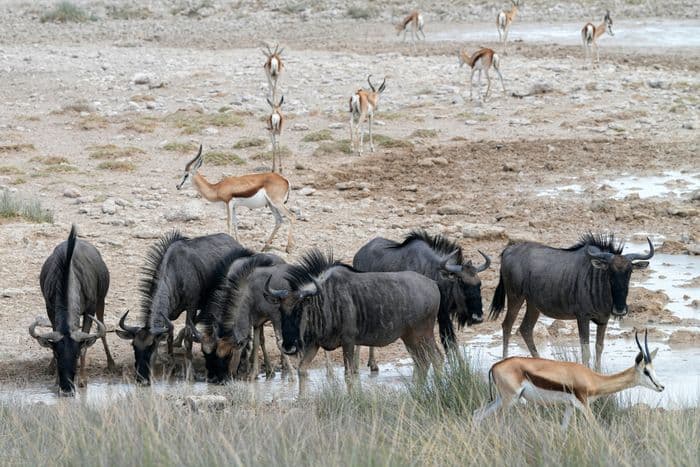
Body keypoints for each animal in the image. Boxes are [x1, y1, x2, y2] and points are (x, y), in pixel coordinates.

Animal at [473, 330, 665, 430]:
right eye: (646, 371)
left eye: (654, 369)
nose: (661, 387)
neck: (593, 378)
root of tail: (495, 365)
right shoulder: (584, 405)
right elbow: (596, 427)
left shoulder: (569, 406)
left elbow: (562, 429)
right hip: (510, 400)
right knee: (497, 422)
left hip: (501, 399)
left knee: (477, 414)